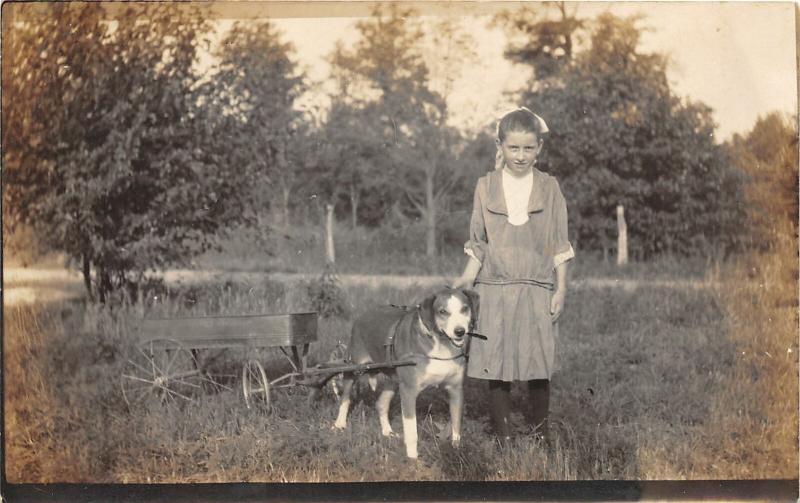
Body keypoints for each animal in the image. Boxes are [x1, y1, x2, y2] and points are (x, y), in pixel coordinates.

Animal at [334, 290, 478, 458]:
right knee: (345, 397)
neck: (440, 346)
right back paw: (339, 424)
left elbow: (456, 425)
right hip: (354, 367)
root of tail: (363, 315)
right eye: (442, 311)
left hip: (393, 378)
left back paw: (387, 432)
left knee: (381, 404)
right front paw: (412, 458)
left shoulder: (455, 389)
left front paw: (456, 451)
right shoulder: (409, 391)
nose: (459, 331)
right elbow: (411, 431)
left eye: (464, 308)